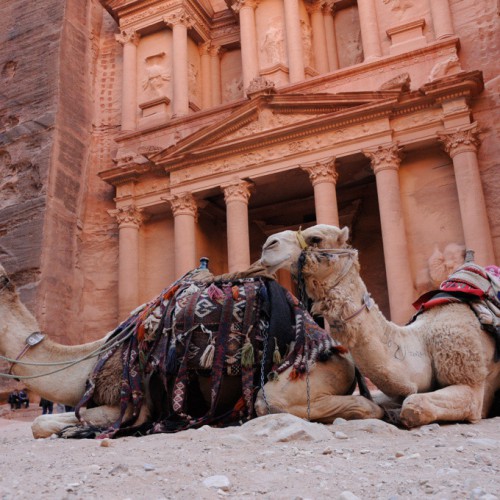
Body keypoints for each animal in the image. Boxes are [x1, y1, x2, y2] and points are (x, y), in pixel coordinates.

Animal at [0, 262, 382, 438]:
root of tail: (342, 354)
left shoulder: (132, 404)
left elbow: (40, 423)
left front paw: (76, 430)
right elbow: (42, 421)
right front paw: (72, 429)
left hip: (299, 378)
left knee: (363, 407)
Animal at [260, 225, 500, 428]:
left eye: (315, 238)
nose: (268, 245)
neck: (422, 338)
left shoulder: (469, 378)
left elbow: (413, 405)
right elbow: (387, 402)